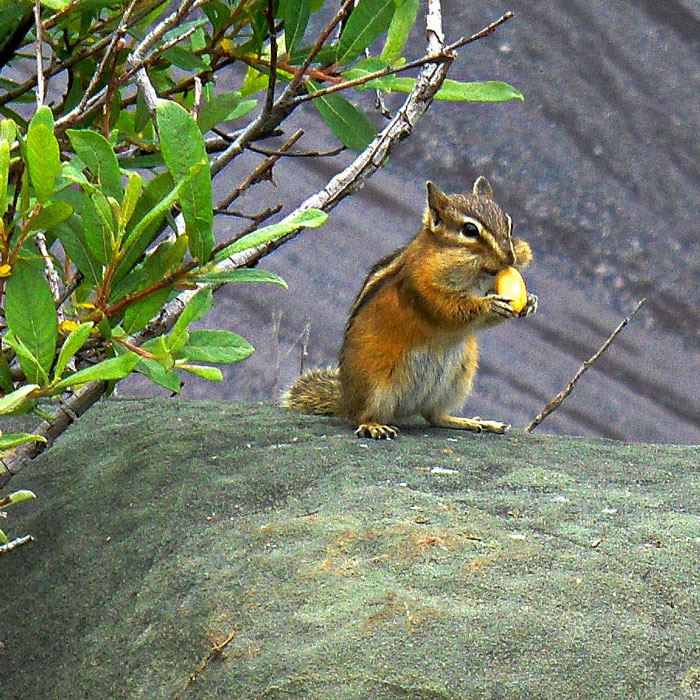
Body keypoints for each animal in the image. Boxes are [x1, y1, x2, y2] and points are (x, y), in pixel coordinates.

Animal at [281, 176, 538, 439]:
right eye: (469, 230)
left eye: (509, 223)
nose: (511, 257)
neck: (471, 272)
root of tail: (346, 398)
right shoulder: (421, 285)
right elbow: (449, 310)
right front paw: (490, 305)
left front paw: (529, 302)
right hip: (375, 387)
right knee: (360, 417)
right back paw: (373, 426)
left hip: (458, 379)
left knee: (434, 417)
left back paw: (472, 422)